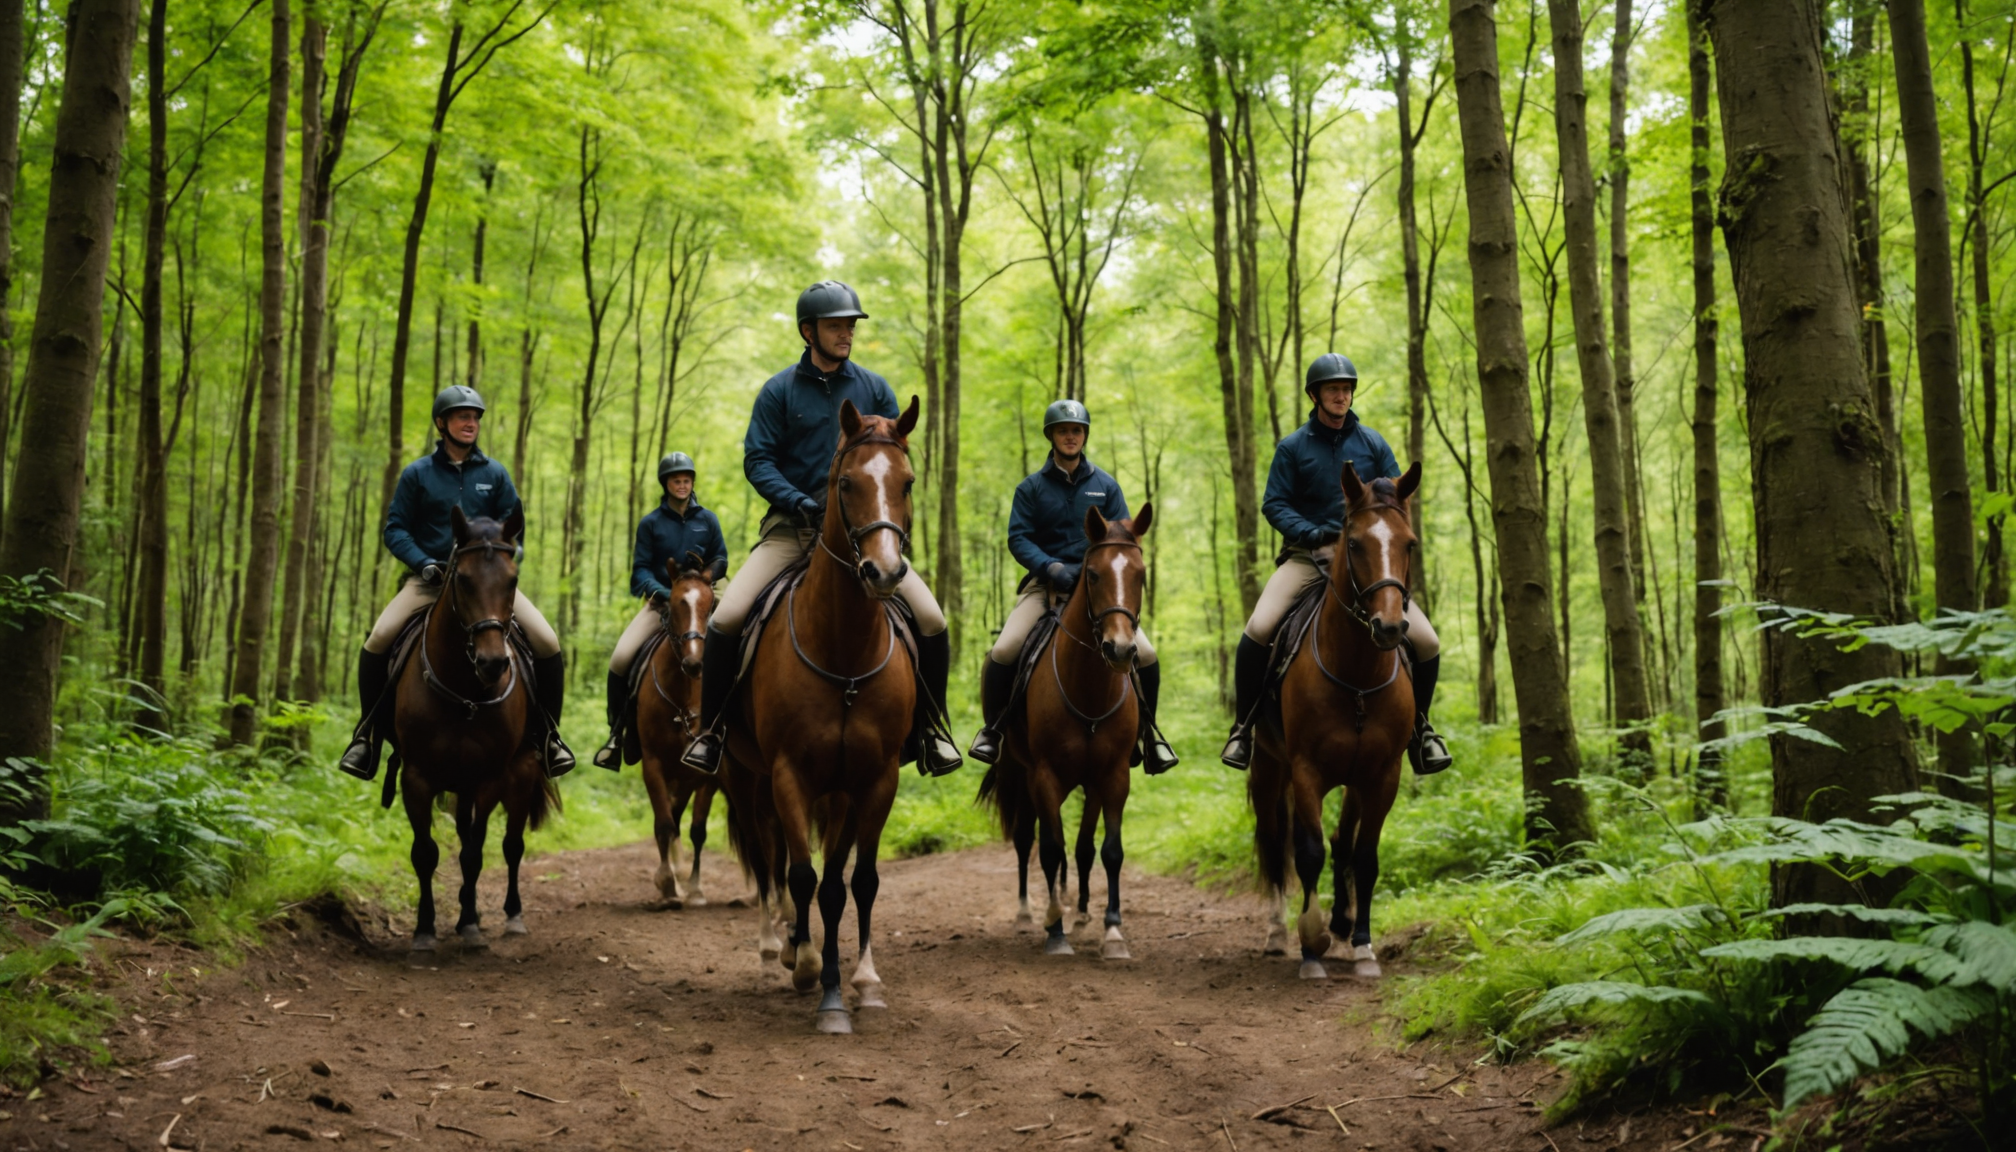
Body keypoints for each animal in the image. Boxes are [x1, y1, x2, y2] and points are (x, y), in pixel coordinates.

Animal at [390, 507, 557, 952]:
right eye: (462, 578)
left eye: (513, 579)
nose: (493, 663)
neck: (465, 691)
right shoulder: (416, 777)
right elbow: (426, 852)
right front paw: (425, 929)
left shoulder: (488, 778)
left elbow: (475, 853)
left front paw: (468, 925)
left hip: (519, 773)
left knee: (511, 845)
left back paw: (509, 916)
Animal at [720, 397, 921, 1034]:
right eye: (847, 482)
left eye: (907, 482)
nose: (884, 572)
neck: (843, 652)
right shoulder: (789, 775)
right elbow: (804, 876)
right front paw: (813, 972)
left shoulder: (875, 780)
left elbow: (853, 882)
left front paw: (858, 983)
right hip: (749, 780)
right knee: (772, 861)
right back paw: (781, 950)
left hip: (835, 793)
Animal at [979, 505, 1154, 961]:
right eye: (1091, 574)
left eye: (1141, 574)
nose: (1120, 650)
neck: (1088, 687)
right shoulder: (1044, 775)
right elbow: (1050, 848)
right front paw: (1054, 930)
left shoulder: (1112, 776)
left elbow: (1104, 850)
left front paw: (1111, 931)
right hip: (1018, 773)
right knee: (1028, 840)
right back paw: (1030, 913)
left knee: (1076, 848)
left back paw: (1078, 912)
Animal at [1248, 462, 1420, 981]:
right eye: (1356, 543)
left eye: (1409, 544)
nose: (1389, 627)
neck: (1357, 675)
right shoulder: (1306, 771)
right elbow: (1309, 852)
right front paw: (1312, 942)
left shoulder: (1381, 775)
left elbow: (1363, 856)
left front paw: (1361, 945)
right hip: (1268, 769)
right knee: (1275, 843)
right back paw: (1278, 934)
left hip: (1354, 779)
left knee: (1343, 841)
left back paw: (1343, 924)